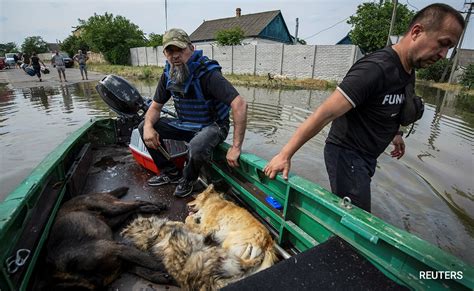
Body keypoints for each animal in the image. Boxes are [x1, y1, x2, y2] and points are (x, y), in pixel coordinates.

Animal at [43, 188, 172, 290]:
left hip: (111, 207)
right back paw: (151, 208)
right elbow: (149, 272)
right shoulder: (125, 263)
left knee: (135, 202)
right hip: (111, 220)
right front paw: (166, 277)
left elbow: (150, 262)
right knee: (132, 209)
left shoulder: (117, 248)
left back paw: (156, 205)